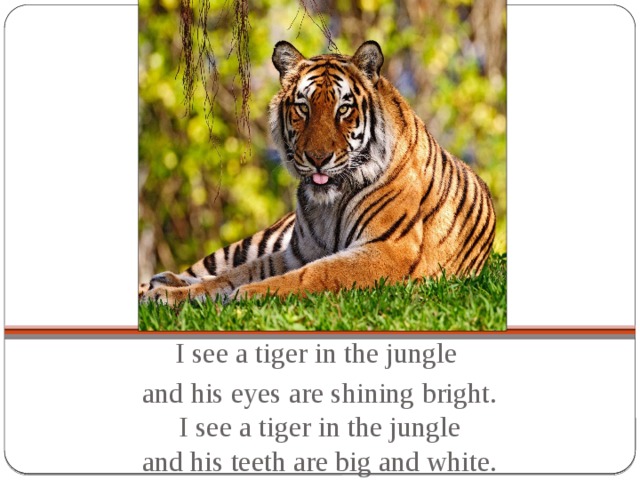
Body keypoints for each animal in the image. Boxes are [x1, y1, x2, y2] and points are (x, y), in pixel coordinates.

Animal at [139, 40, 496, 305]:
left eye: (343, 109)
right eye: (303, 107)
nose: (318, 158)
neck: (329, 204)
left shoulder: (388, 249)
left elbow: (315, 274)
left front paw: (249, 294)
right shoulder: (298, 251)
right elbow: (233, 275)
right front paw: (169, 295)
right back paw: (159, 282)